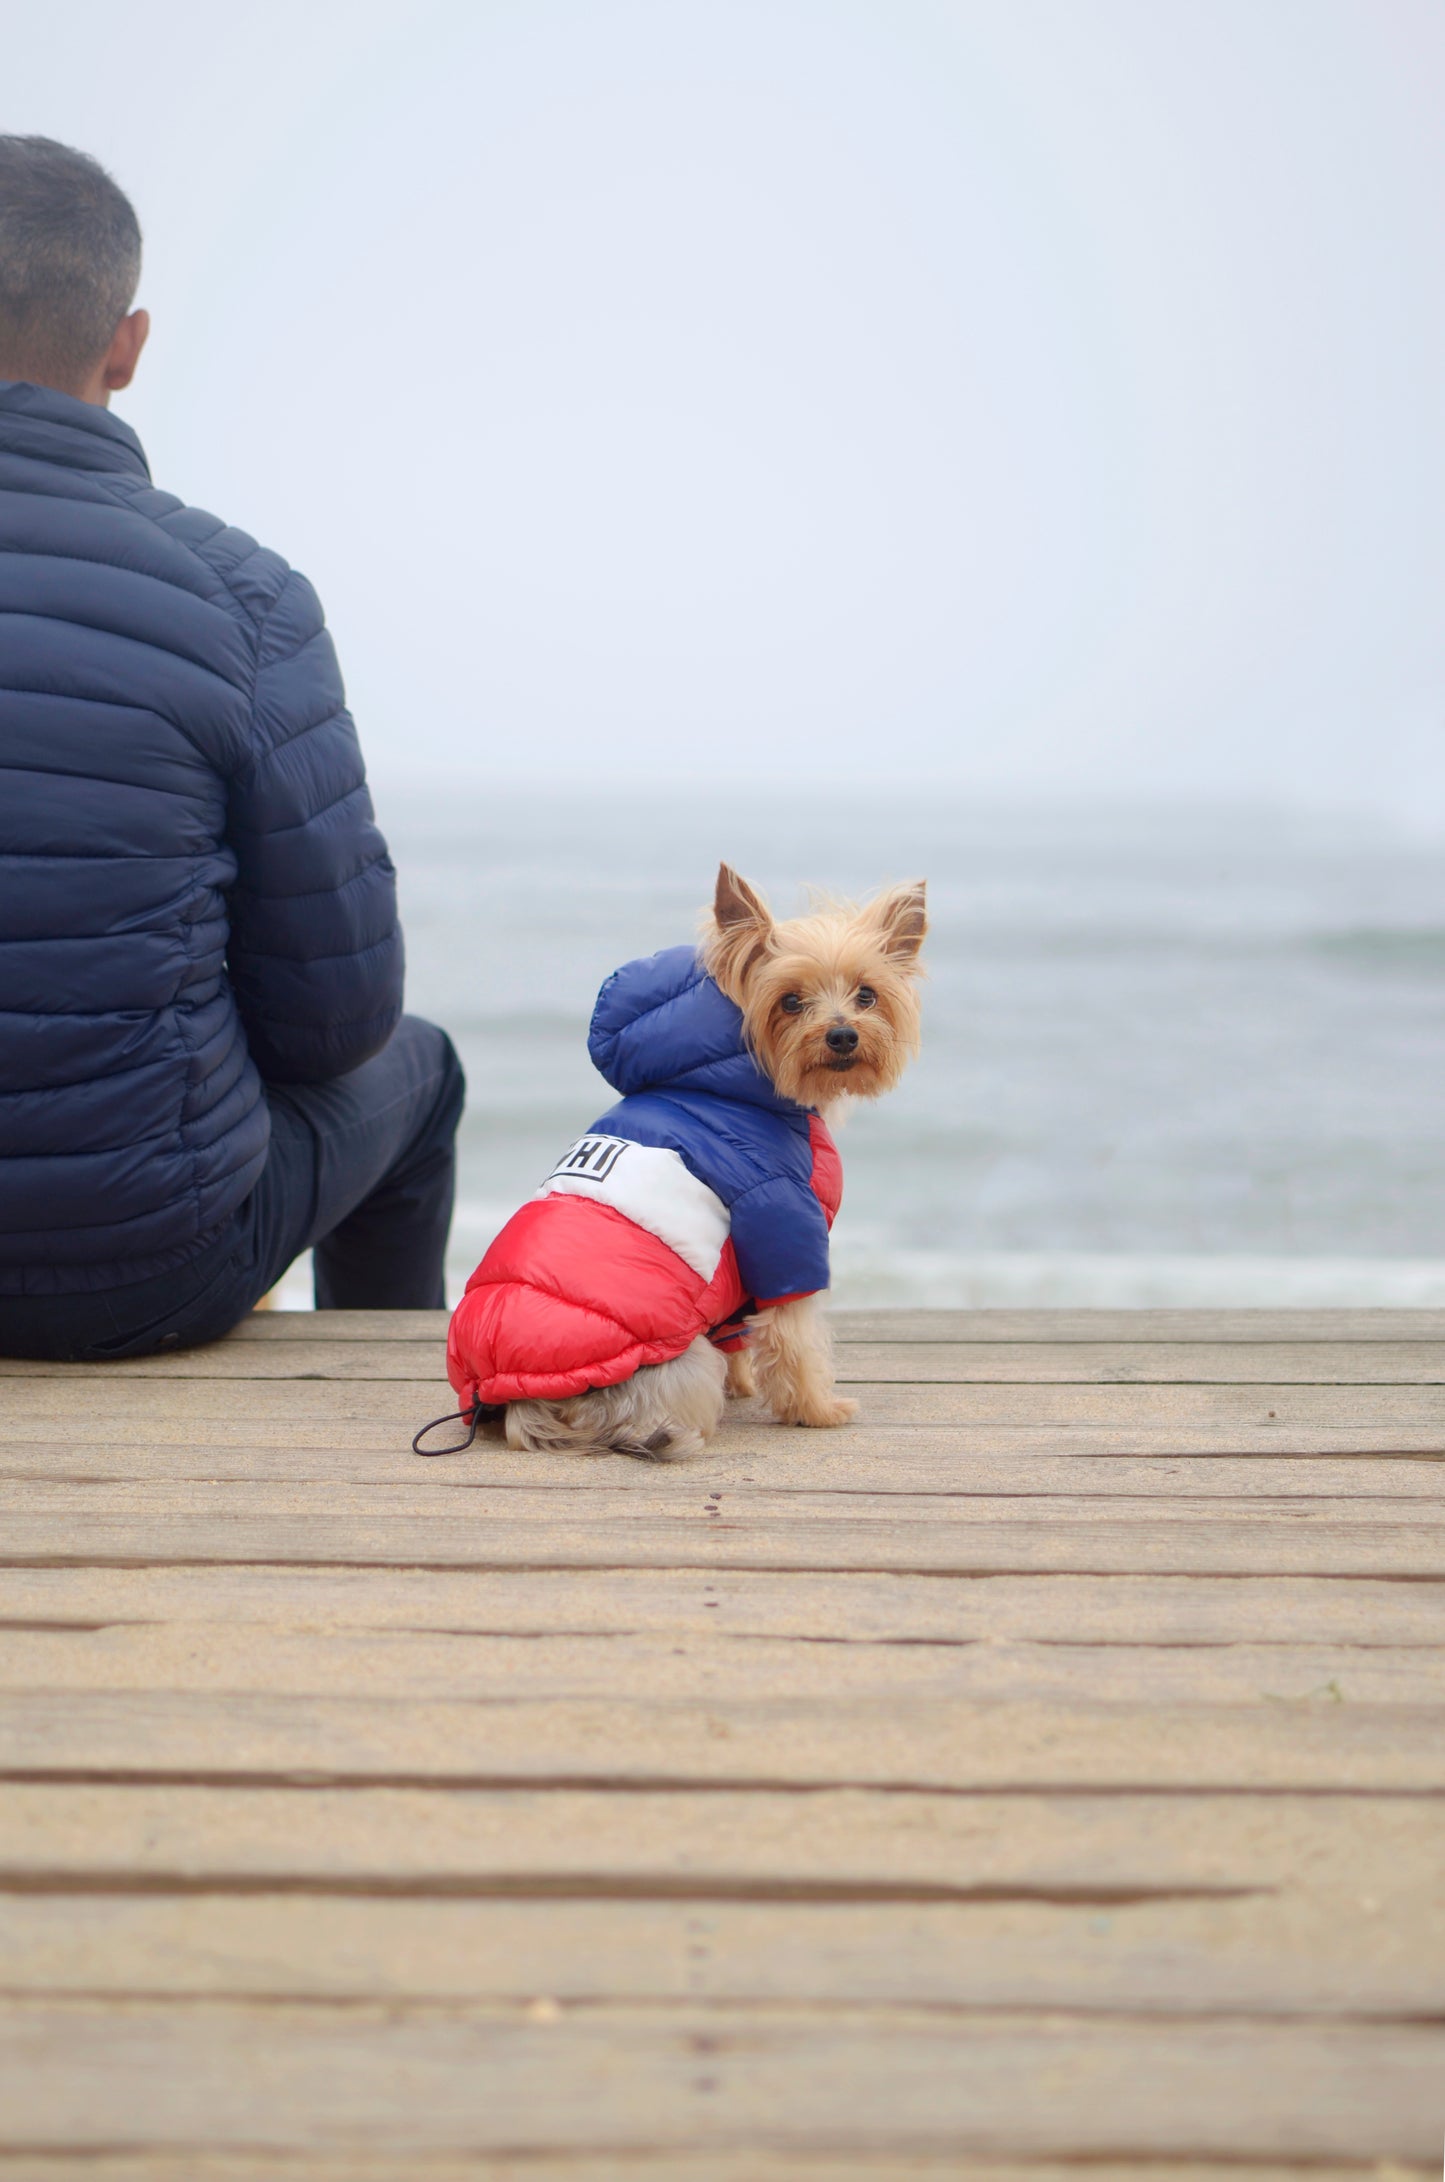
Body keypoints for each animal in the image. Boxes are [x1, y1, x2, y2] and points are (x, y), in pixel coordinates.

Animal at [445, 859, 929, 1457]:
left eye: (867, 995)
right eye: (790, 1001)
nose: (842, 1035)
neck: (722, 1078)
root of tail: (521, 1400)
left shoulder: (737, 1269)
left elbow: (739, 1332)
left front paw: (744, 1385)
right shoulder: (779, 1219)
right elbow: (794, 1335)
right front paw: (817, 1411)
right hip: (680, 1360)